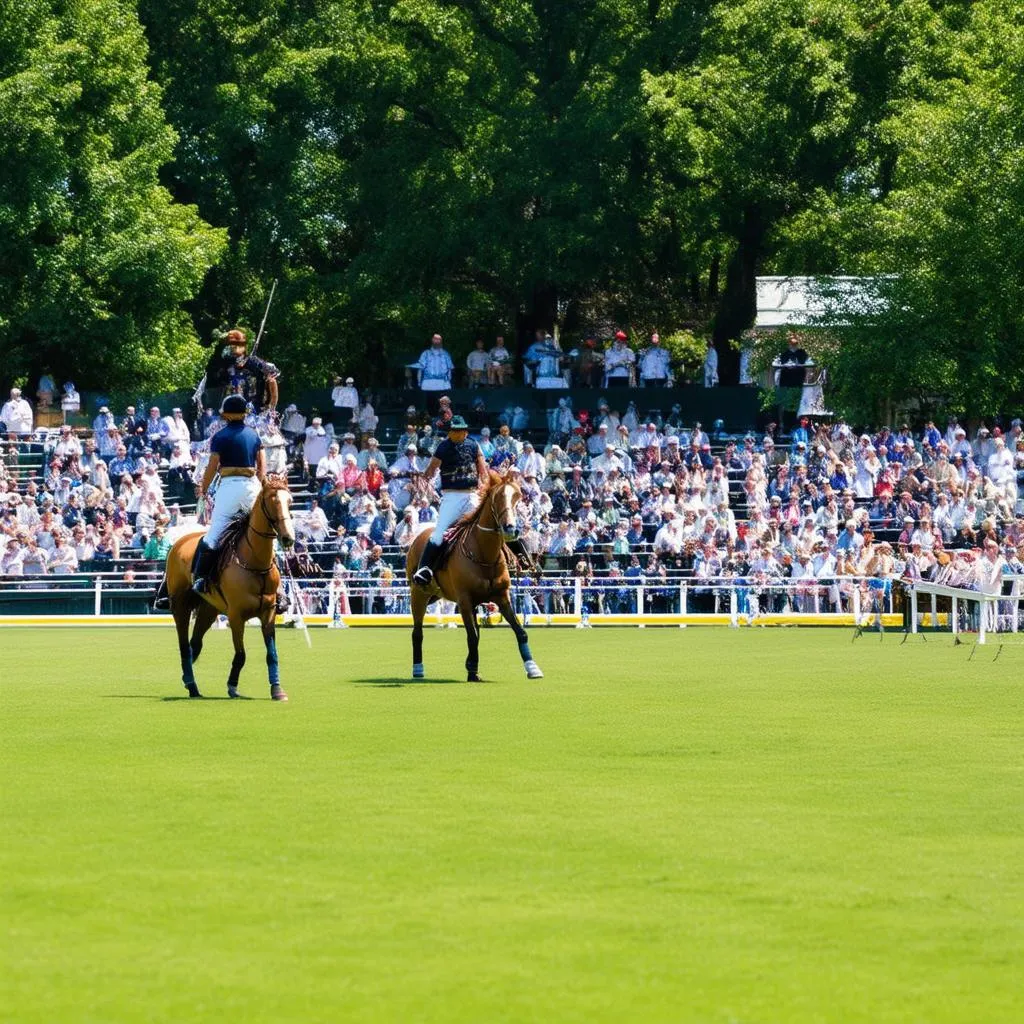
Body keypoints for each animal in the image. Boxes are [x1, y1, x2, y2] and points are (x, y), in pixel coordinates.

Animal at [161, 475, 294, 700]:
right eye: (273, 500)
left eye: (290, 501)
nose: (288, 538)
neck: (255, 562)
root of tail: (180, 541)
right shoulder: (236, 615)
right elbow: (241, 654)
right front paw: (232, 686)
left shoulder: (268, 612)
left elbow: (271, 654)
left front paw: (277, 690)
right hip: (180, 606)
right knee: (184, 646)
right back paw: (191, 684)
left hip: (208, 609)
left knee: (194, 644)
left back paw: (190, 683)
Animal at [403, 468, 544, 679]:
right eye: (496, 498)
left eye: (517, 497)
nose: (510, 529)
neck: (485, 554)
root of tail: (418, 536)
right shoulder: (464, 600)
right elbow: (472, 635)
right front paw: (472, 670)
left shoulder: (502, 597)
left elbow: (520, 631)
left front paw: (532, 668)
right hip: (418, 594)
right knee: (417, 633)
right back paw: (418, 669)